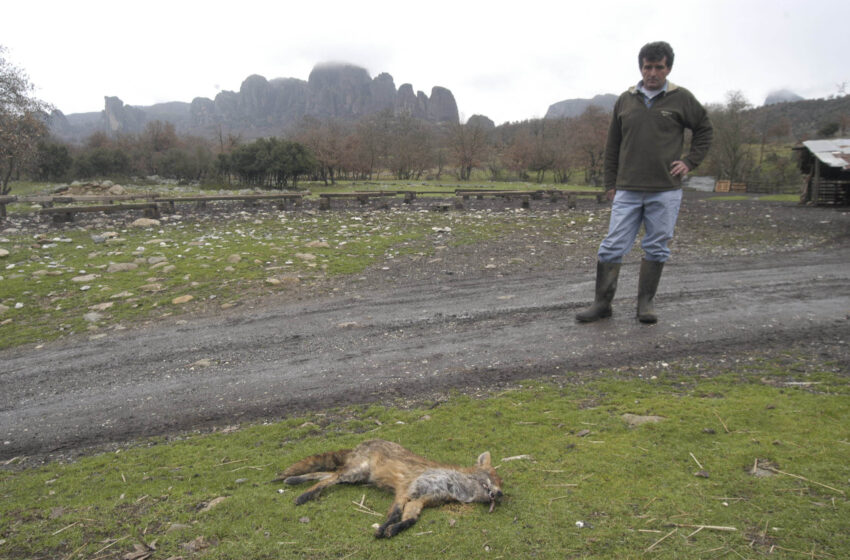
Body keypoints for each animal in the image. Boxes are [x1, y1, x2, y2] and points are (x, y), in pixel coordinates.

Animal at [274, 440, 500, 536]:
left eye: (501, 484)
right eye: (494, 478)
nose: (500, 494)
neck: (449, 485)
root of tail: (361, 443)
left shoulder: (420, 500)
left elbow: (410, 519)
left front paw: (394, 529)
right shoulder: (405, 490)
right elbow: (395, 514)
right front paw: (383, 528)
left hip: (356, 477)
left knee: (326, 475)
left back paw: (293, 481)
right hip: (354, 472)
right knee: (327, 479)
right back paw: (305, 494)